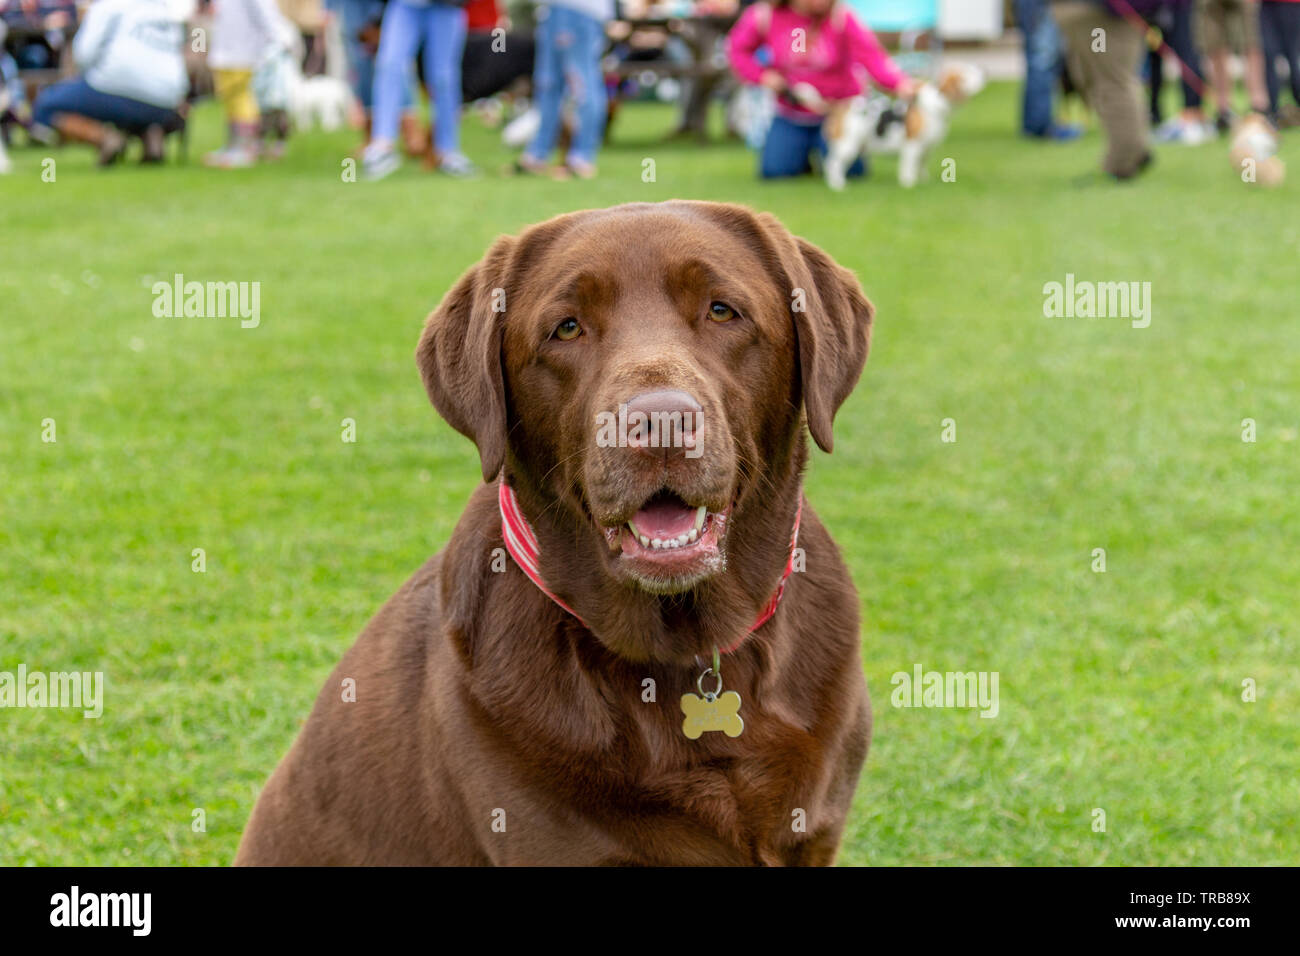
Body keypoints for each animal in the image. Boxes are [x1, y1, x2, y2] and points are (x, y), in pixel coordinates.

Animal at [790, 62, 982, 191]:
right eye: (967, 73)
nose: (982, 70)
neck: (936, 104)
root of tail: (838, 106)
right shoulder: (912, 146)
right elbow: (909, 166)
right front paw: (908, 183)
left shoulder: (926, 148)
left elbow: (921, 165)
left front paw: (923, 180)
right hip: (848, 146)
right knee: (833, 164)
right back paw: (838, 185)